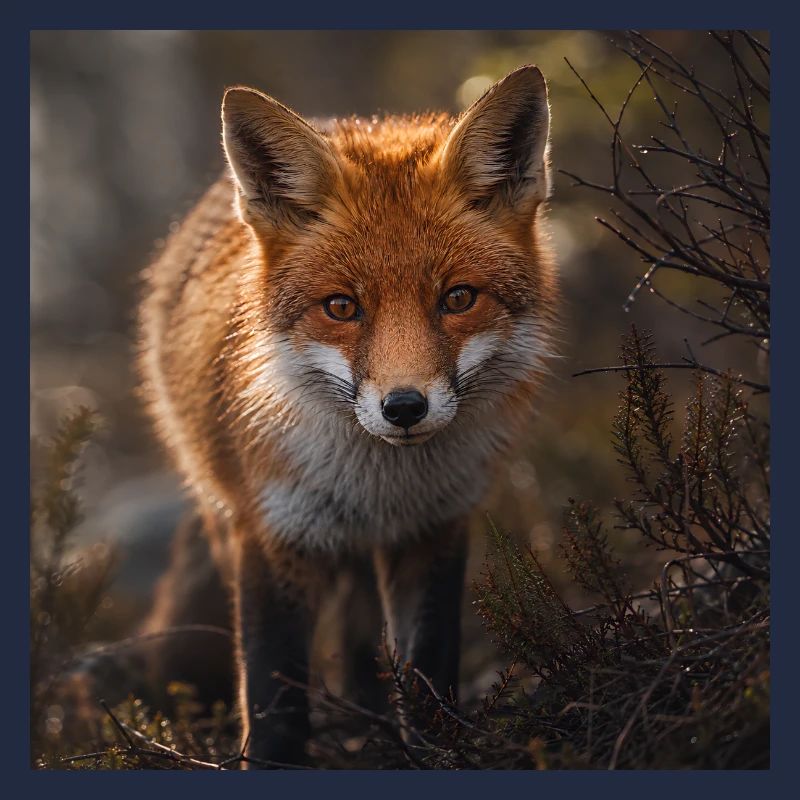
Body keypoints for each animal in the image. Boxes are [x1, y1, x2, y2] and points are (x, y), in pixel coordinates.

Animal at [137, 64, 558, 767]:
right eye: (341, 307)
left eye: (458, 298)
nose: (404, 406)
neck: (378, 486)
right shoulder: (272, 533)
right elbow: (275, 692)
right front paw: (271, 760)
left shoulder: (435, 527)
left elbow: (428, 668)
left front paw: (434, 750)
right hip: (225, 516)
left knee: (363, 641)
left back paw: (371, 721)